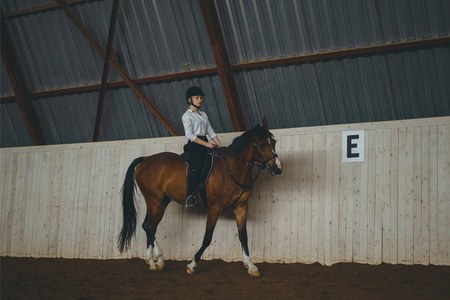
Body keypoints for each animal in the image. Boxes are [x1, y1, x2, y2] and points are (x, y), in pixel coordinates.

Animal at [118, 118, 284, 276]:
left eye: (274, 142)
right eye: (261, 144)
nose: (278, 168)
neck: (232, 168)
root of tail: (145, 159)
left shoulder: (241, 207)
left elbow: (243, 236)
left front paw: (251, 266)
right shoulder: (215, 208)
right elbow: (207, 238)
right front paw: (192, 265)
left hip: (162, 201)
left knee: (151, 226)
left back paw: (157, 261)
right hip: (154, 200)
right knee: (148, 225)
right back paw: (154, 262)